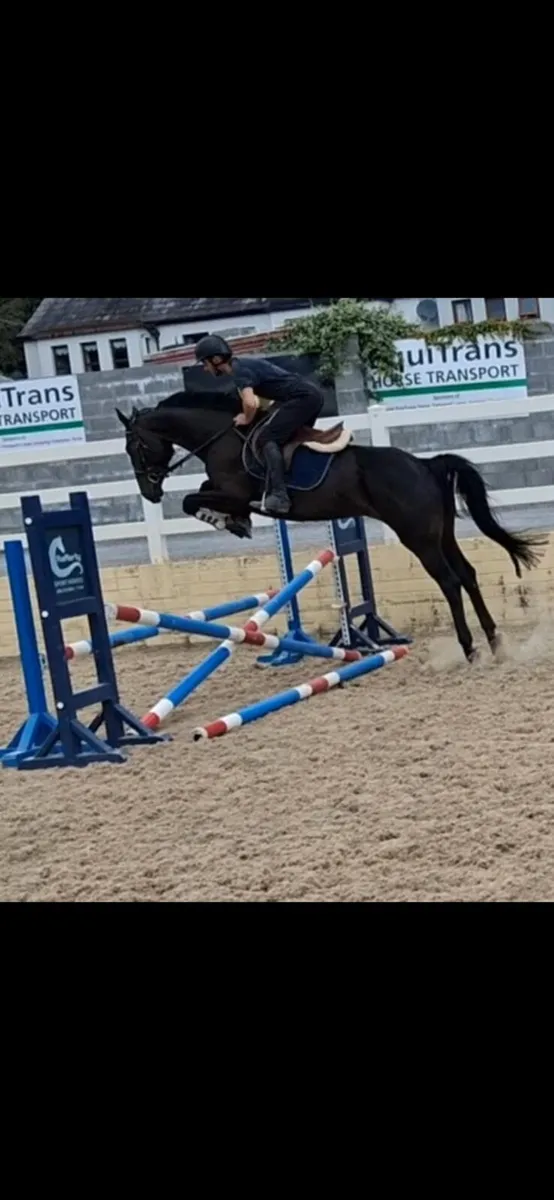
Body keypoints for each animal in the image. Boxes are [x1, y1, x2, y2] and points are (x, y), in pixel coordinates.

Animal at [116, 390, 545, 663]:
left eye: (135, 446)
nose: (150, 493)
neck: (221, 437)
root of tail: (424, 465)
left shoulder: (234, 493)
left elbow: (193, 501)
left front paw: (229, 521)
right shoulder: (221, 489)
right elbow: (199, 495)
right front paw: (234, 522)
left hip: (418, 538)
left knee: (450, 582)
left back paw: (470, 648)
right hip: (442, 534)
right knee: (468, 576)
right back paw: (495, 642)